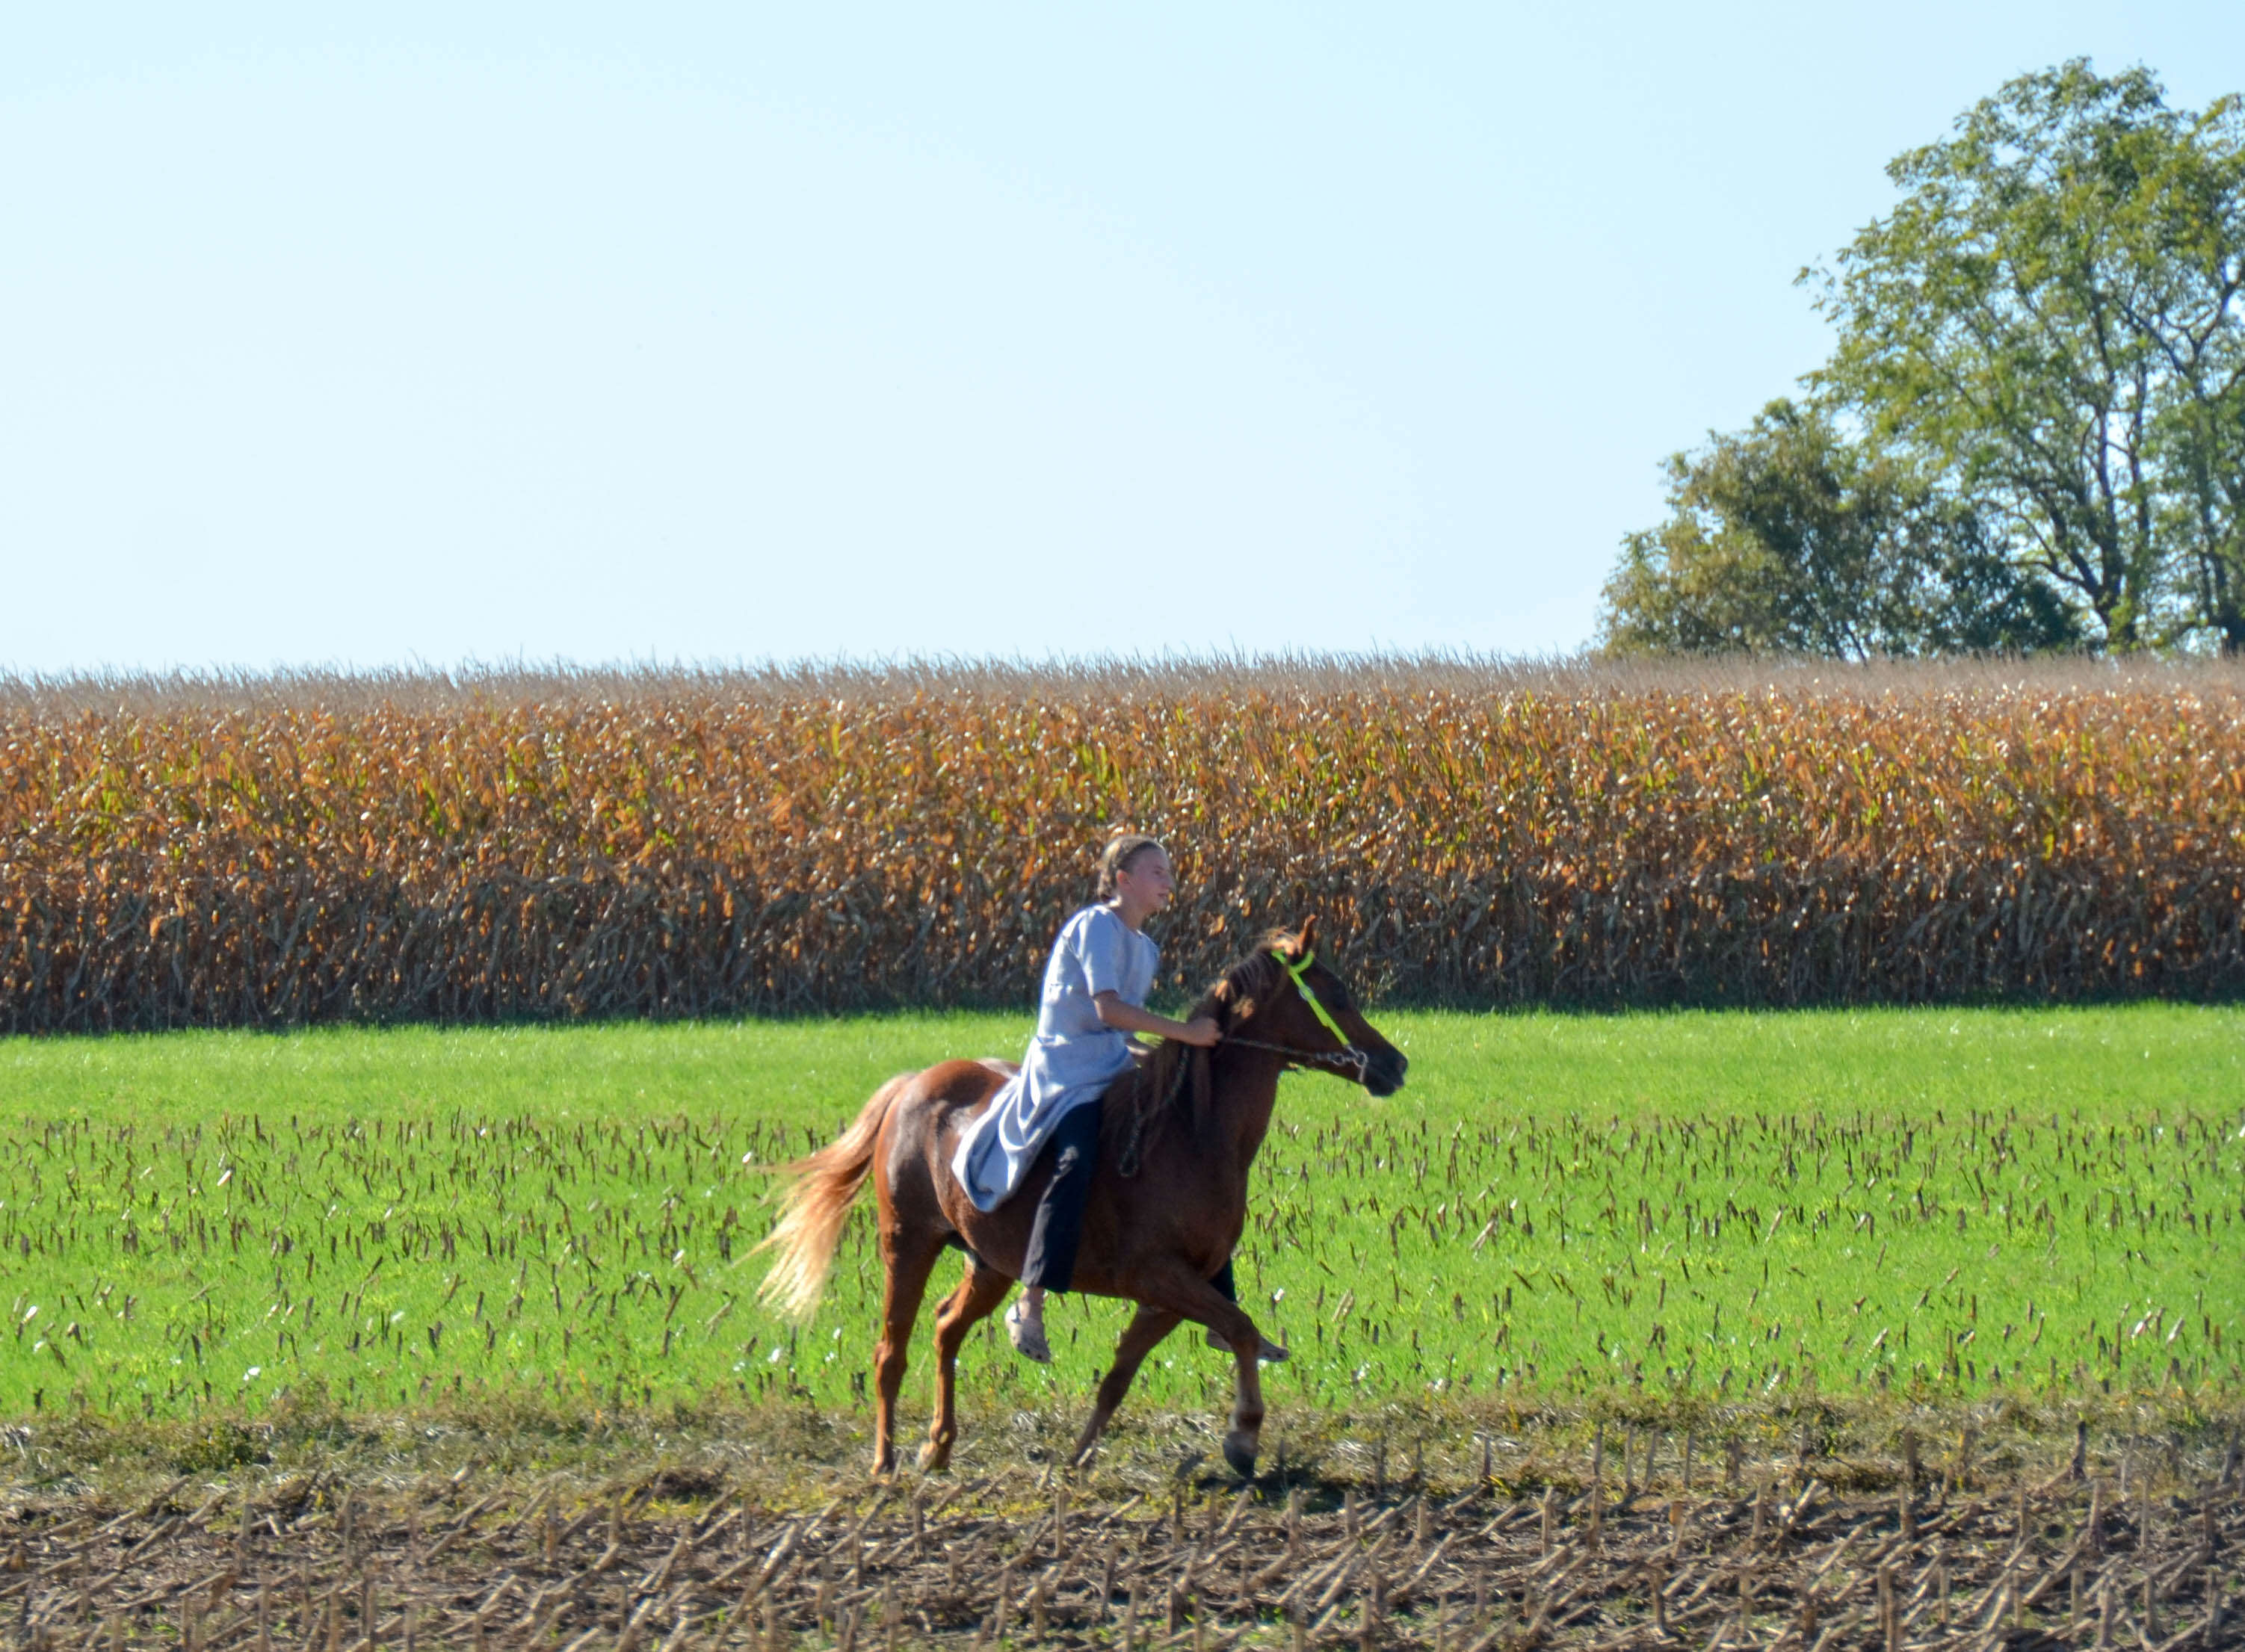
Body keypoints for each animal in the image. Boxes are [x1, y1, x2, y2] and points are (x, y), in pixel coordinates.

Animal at [763, 924, 1409, 1481]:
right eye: (1337, 994)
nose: (1395, 1062)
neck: (1191, 1134)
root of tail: (911, 1085)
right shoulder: (1156, 1274)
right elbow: (1242, 1328)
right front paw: (1243, 1437)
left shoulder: (1173, 1290)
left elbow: (1121, 1375)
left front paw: (1079, 1456)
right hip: (908, 1242)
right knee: (889, 1351)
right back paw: (885, 1461)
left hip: (989, 1261)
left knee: (946, 1327)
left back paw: (938, 1445)